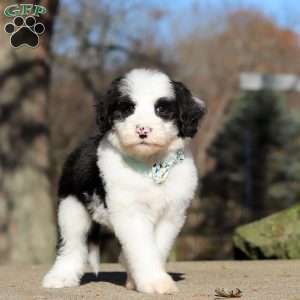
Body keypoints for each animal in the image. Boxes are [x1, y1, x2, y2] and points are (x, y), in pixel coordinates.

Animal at [42, 67, 206, 292]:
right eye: (128, 109)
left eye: (161, 110)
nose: (143, 130)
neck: (151, 165)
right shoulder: (131, 213)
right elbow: (143, 248)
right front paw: (155, 282)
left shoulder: (171, 214)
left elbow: (157, 248)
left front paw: (143, 279)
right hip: (71, 207)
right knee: (72, 243)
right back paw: (61, 277)